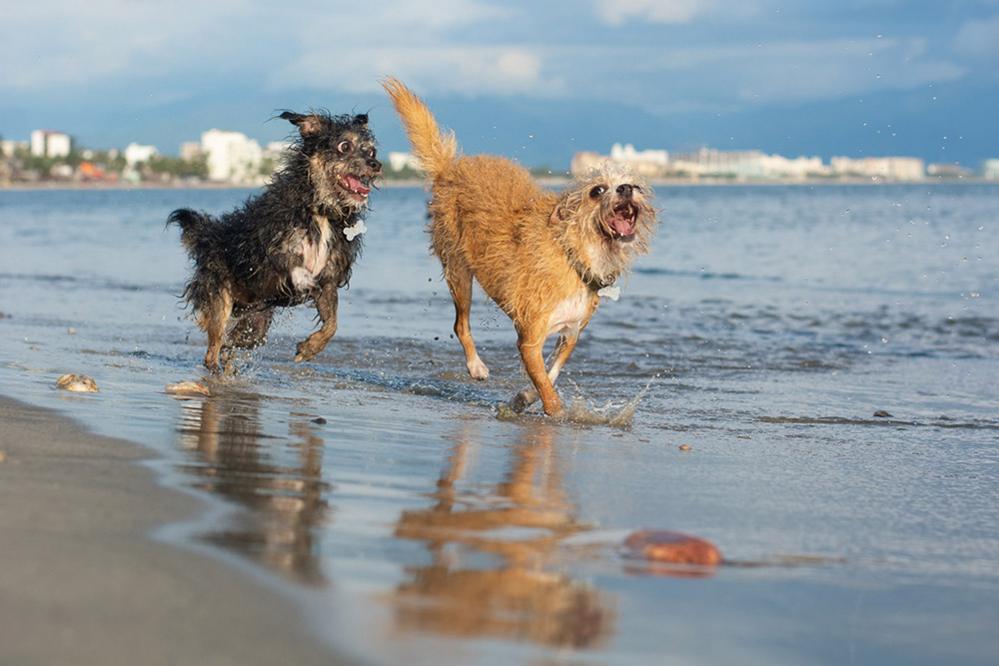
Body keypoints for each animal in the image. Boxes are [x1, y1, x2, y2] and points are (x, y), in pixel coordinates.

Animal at [168, 108, 378, 368]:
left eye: (372, 151)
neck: (321, 211)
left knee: (234, 343)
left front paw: (310, 347)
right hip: (219, 299)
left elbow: (332, 324)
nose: (375, 164)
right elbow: (293, 267)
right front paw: (304, 281)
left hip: (256, 321)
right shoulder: (273, 250)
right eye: (345, 146)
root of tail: (209, 237)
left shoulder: (329, 278)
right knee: (213, 349)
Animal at [382, 76, 656, 410]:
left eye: (635, 184)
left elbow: (551, 372)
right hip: (458, 270)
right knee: (461, 324)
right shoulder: (529, 339)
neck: (573, 253)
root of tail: (450, 168)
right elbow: (548, 390)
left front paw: (525, 397)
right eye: (597, 190)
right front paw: (555, 412)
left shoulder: (571, 333)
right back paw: (476, 366)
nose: (627, 188)